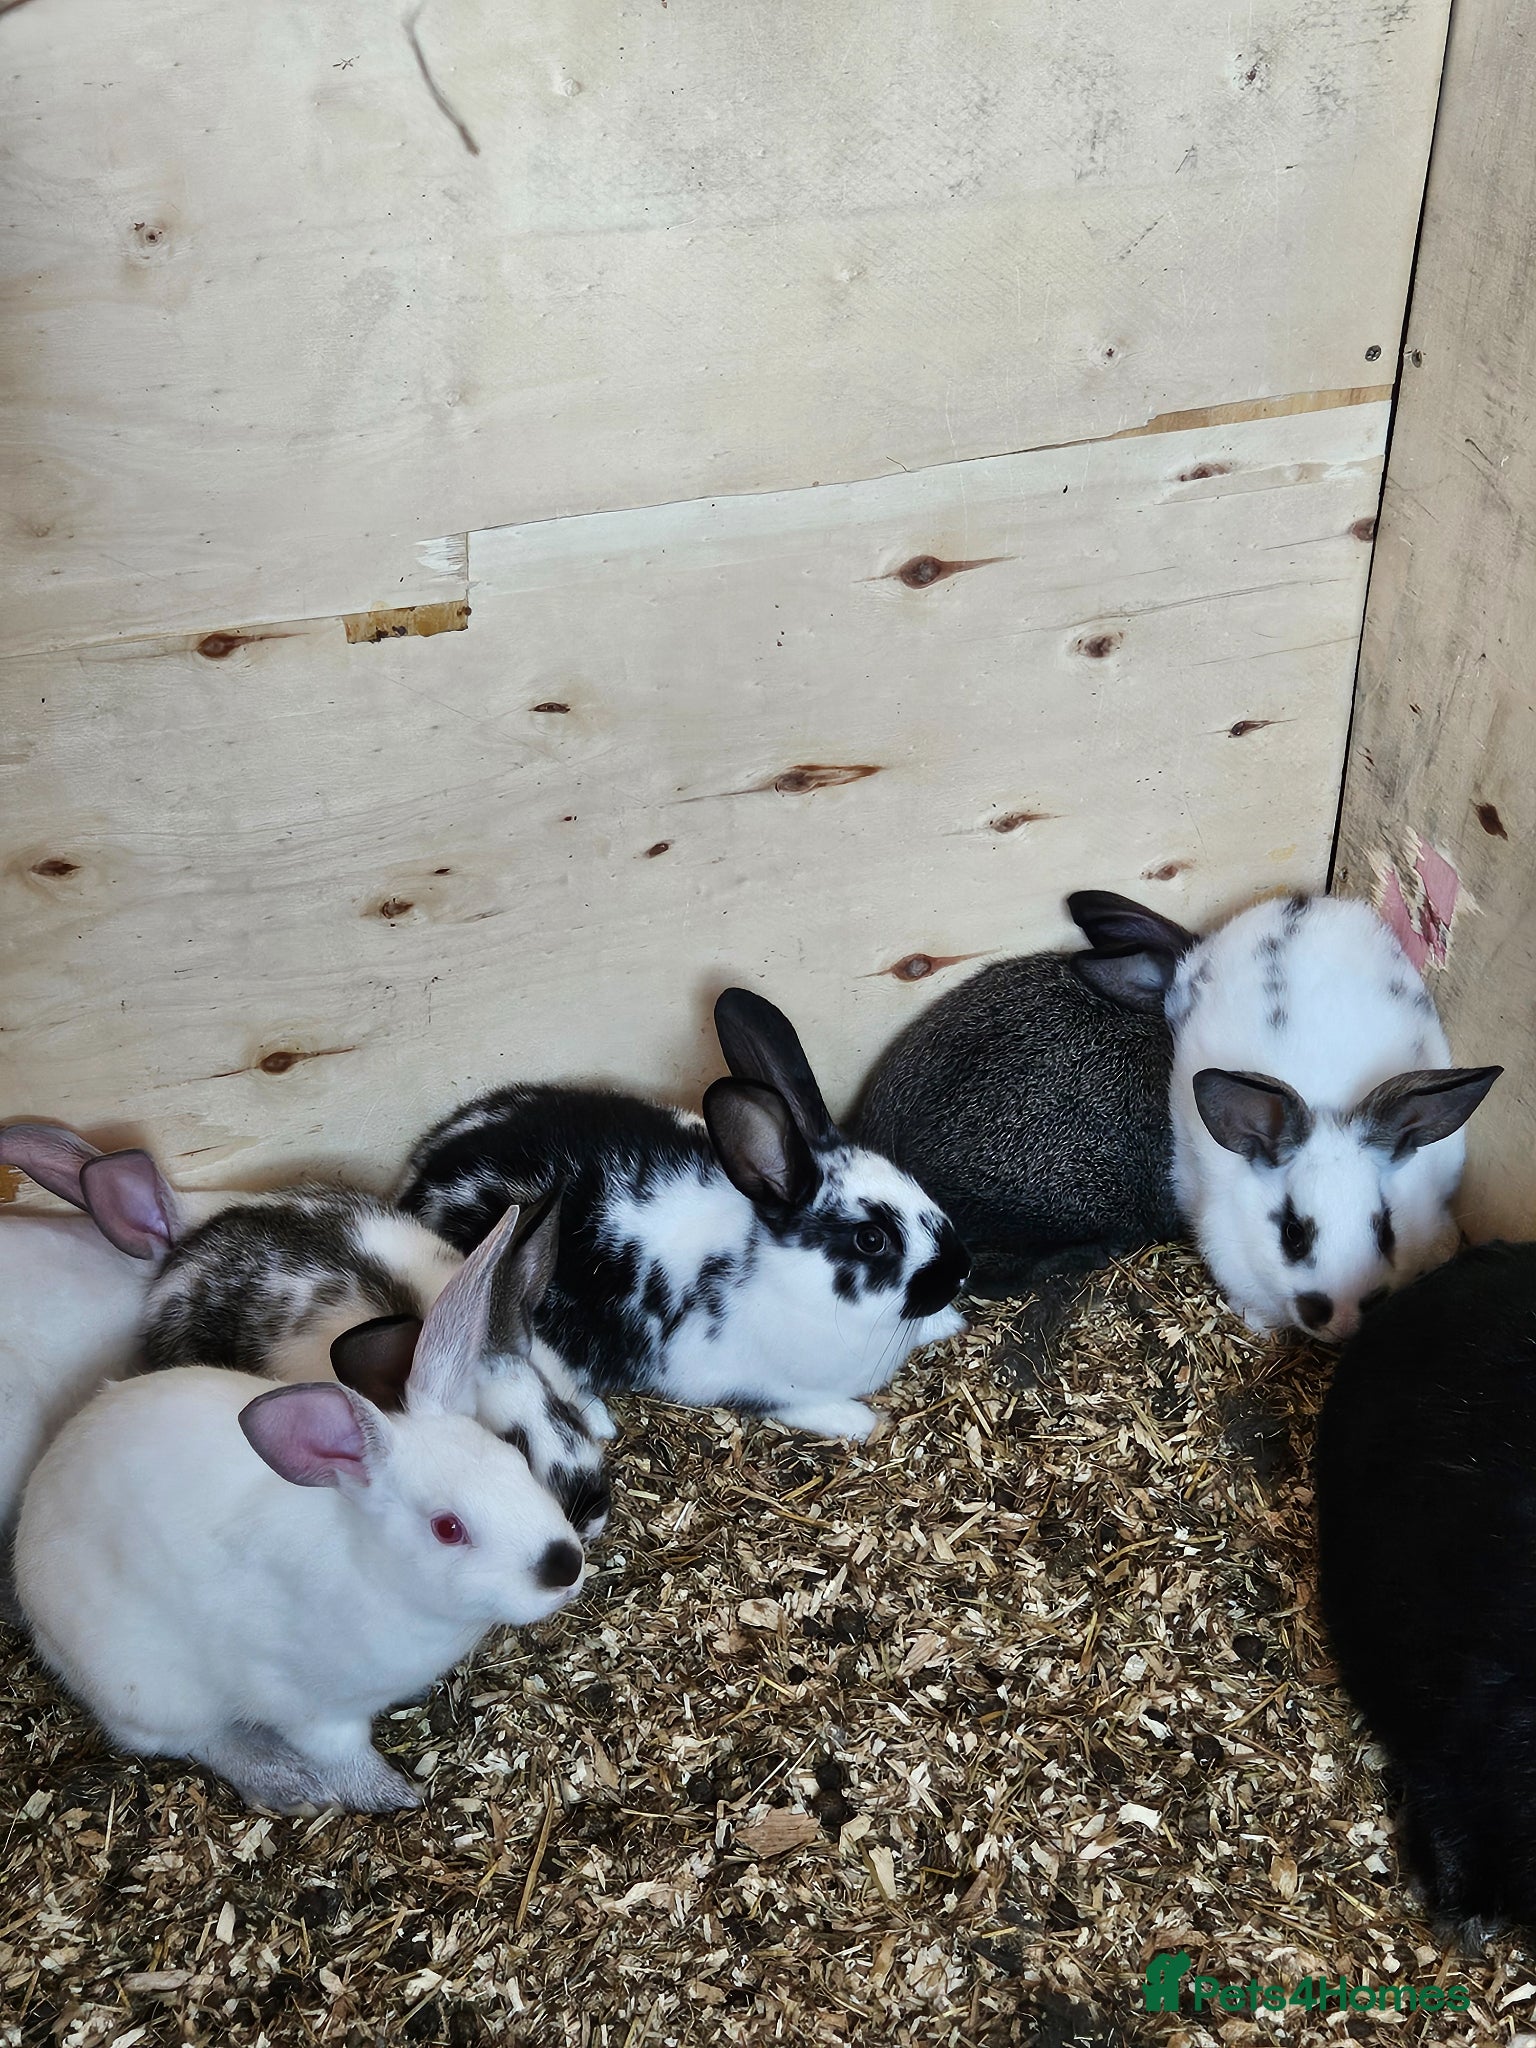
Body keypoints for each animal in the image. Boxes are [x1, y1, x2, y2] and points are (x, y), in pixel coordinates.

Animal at [14, 1199, 588, 1815]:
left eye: (513, 1459)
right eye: (447, 1528)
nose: (565, 1565)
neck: (373, 1565)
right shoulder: (308, 1706)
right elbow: (341, 1751)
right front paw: (394, 1795)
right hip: (150, 1686)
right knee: (194, 1738)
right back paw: (287, 1781)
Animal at [398, 989, 972, 1441]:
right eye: (872, 1240)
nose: (961, 1272)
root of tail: (416, 1178)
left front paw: (948, 1321)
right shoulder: (748, 1381)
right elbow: (797, 1405)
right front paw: (860, 1422)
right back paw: (599, 1421)